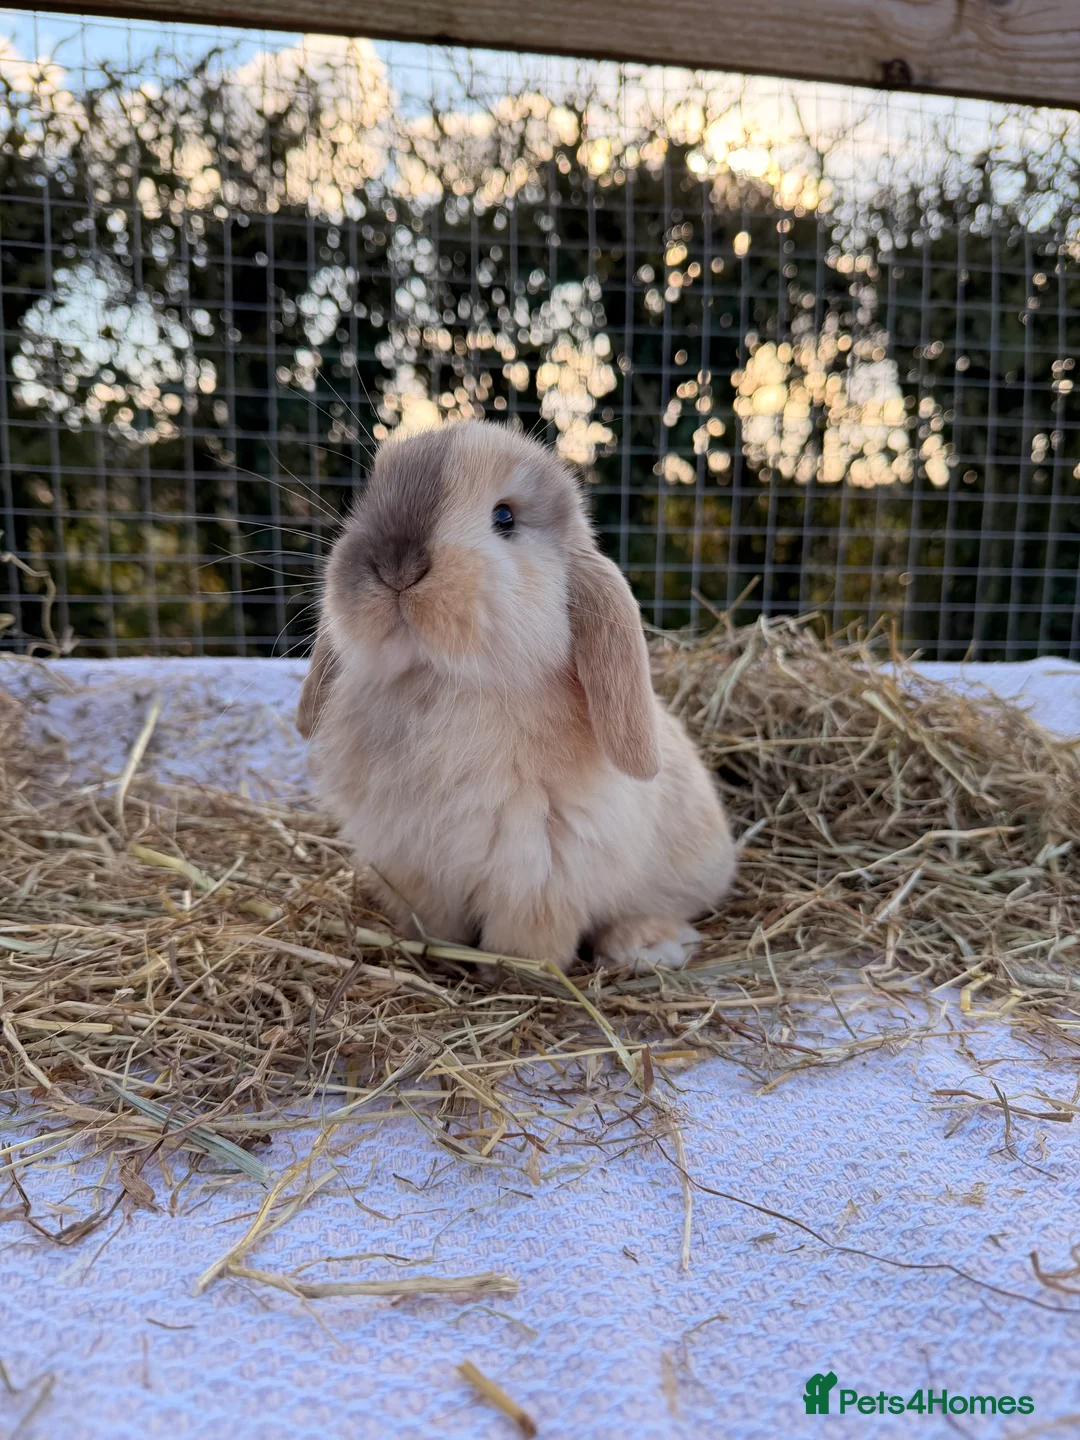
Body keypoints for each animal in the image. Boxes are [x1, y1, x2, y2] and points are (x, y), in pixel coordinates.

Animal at [297, 420, 735, 973]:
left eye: (504, 517)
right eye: (368, 497)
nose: (396, 566)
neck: (440, 685)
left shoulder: (539, 876)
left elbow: (526, 943)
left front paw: (513, 974)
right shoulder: (413, 865)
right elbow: (435, 925)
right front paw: (438, 959)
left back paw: (643, 945)